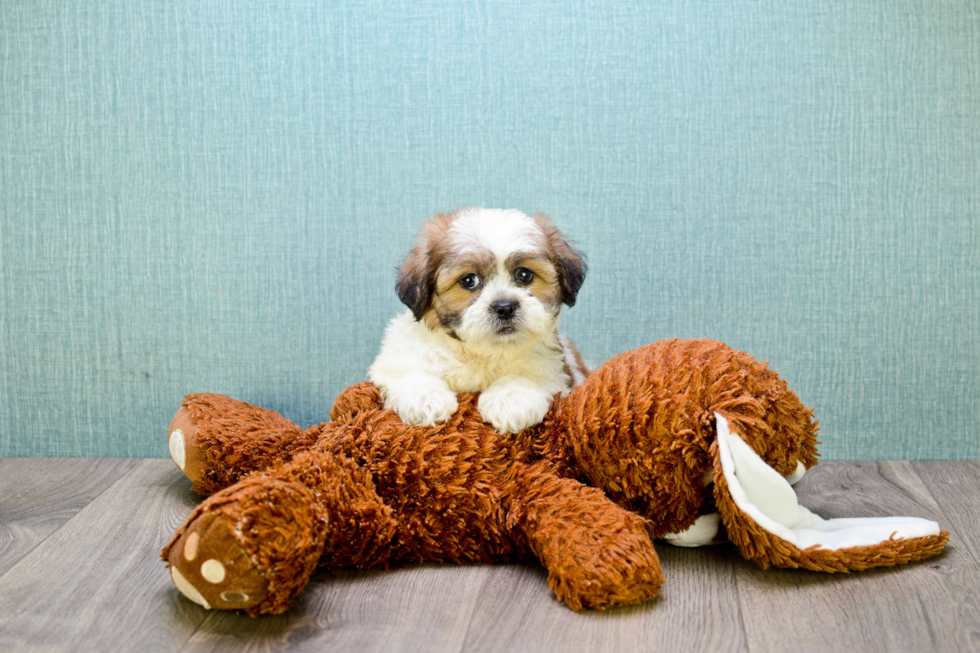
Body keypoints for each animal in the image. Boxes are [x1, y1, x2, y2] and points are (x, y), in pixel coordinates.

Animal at [366, 209, 580, 432]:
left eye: (524, 275)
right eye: (469, 280)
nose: (504, 307)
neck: (478, 351)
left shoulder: (555, 370)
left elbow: (528, 377)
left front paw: (509, 400)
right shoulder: (396, 359)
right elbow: (409, 372)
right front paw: (426, 399)